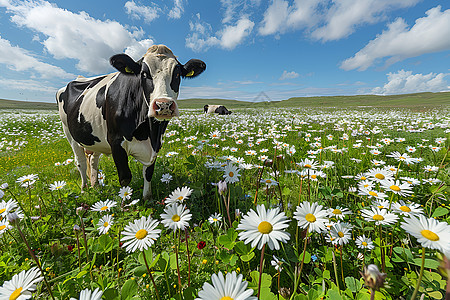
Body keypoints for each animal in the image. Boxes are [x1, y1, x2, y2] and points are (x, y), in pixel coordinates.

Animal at [56, 44, 206, 199]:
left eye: (177, 74)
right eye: (144, 74)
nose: (163, 105)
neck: (149, 131)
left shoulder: (156, 144)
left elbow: (148, 173)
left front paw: (147, 198)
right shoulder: (116, 142)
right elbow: (125, 178)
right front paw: (125, 201)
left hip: (95, 137)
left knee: (93, 160)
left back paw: (96, 186)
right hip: (69, 133)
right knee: (80, 163)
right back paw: (84, 190)